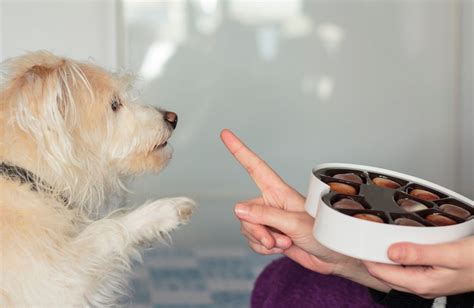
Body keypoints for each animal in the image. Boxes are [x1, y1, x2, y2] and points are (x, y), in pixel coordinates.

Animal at [0, 51, 194, 306]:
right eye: (114, 105)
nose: (173, 118)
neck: (27, 177)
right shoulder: (57, 284)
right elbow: (106, 229)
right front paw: (164, 211)